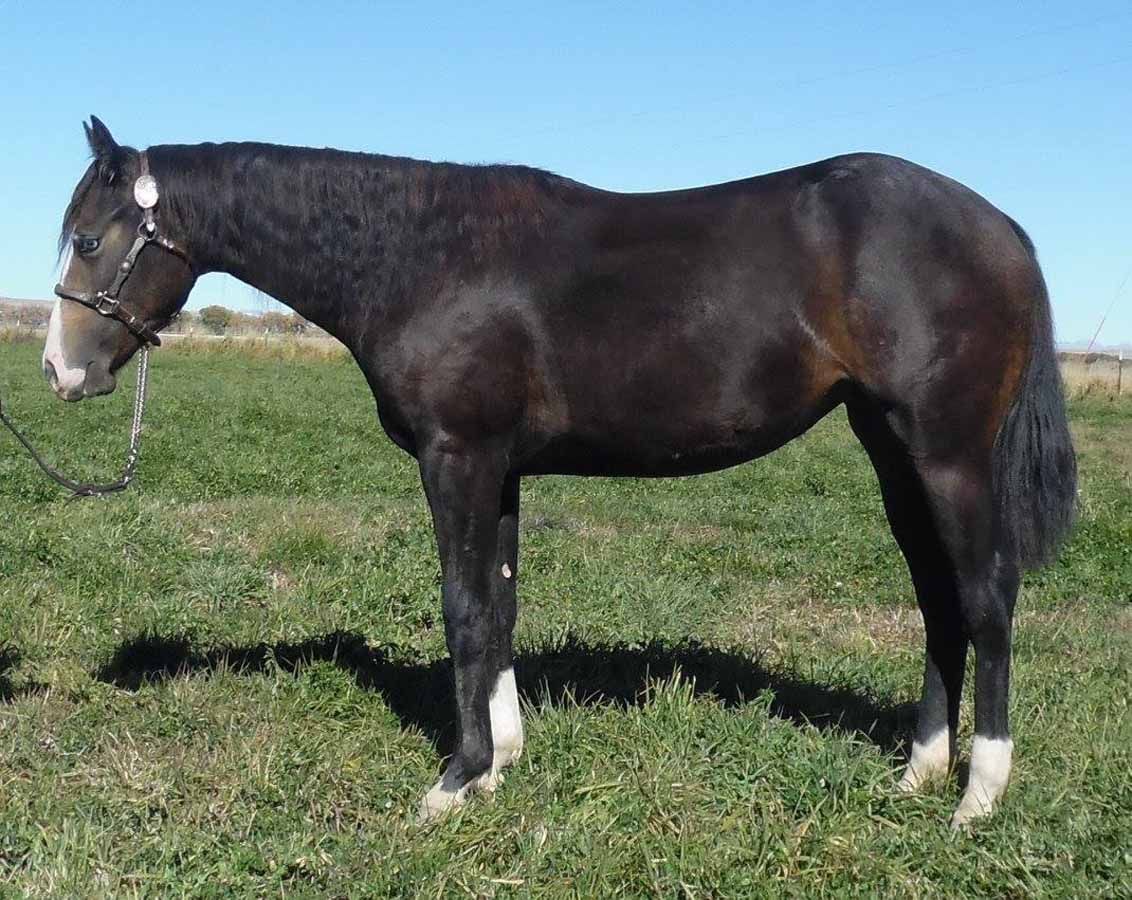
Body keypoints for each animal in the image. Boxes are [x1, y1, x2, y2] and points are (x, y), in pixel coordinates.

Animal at [43, 116, 1076, 826]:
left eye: (89, 240)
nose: (60, 371)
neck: (420, 257)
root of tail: (1000, 226)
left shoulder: (457, 457)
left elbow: (463, 607)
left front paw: (452, 782)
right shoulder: (499, 468)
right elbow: (498, 605)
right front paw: (501, 762)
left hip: (948, 456)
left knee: (986, 600)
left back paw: (977, 795)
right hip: (892, 452)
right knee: (940, 603)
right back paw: (917, 772)